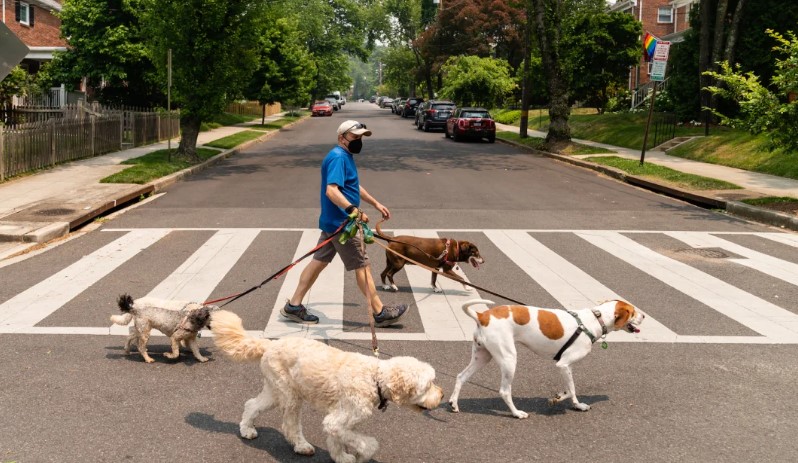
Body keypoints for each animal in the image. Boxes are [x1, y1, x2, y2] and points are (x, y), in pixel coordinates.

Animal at [211, 310, 444, 463]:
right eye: (429, 384)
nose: (441, 395)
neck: (375, 378)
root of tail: (270, 344)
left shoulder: (342, 421)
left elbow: (337, 439)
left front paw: (341, 457)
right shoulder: (339, 419)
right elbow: (367, 443)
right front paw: (363, 454)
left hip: (274, 390)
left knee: (252, 404)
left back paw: (246, 429)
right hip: (289, 395)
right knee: (289, 425)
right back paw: (302, 446)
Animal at [450, 300, 644, 418]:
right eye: (633, 312)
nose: (644, 316)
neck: (596, 320)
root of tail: (483, 316)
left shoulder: (566, 366)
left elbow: (569, 388)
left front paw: (563, 398)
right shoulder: (563, 364)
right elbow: (572, 390)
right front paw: (573, 403)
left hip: (482, 356)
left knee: (461, 376)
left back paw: (453, 403)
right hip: (508, 359)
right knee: (504, 391)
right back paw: (517, 413)